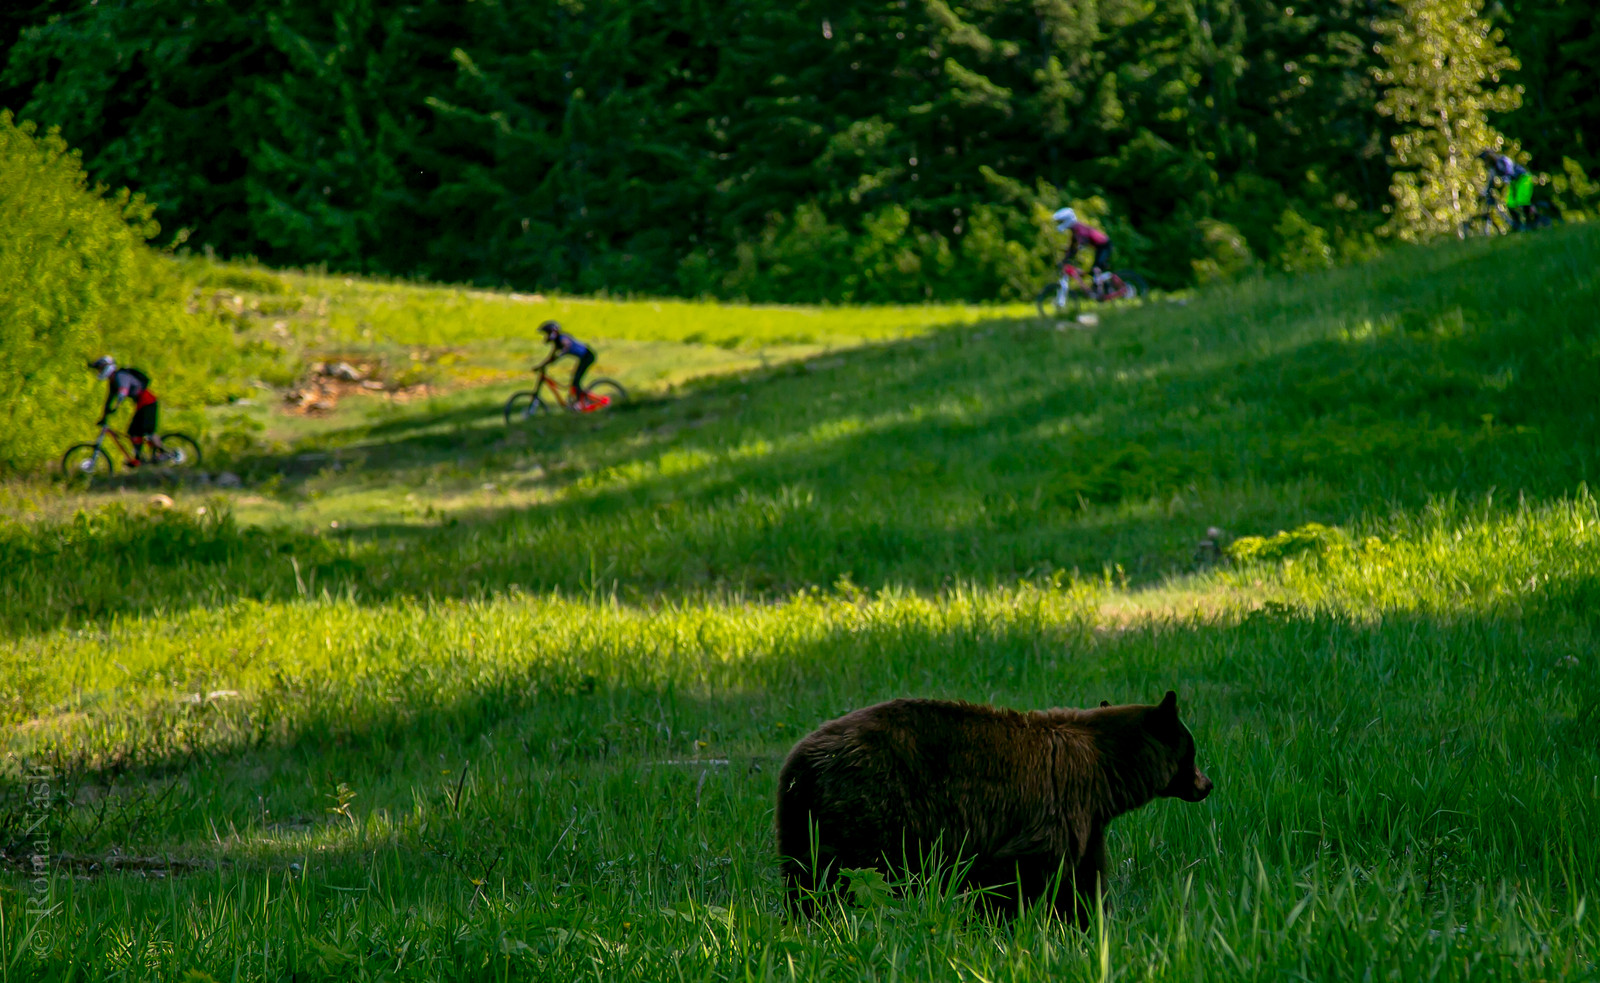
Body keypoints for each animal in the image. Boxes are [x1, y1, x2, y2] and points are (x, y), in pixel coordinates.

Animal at [774, 691, 1211, 924]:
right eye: (1191, 750)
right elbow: (1015, 872)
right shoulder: (1054, 806)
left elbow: (1084, 879)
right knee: (846, 878)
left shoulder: (1087, 820)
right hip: (870, 810)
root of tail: (798, 763)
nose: (1206, 784)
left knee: (805, 877)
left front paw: (1089, 924)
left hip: (803, 823)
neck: (1102, 768)